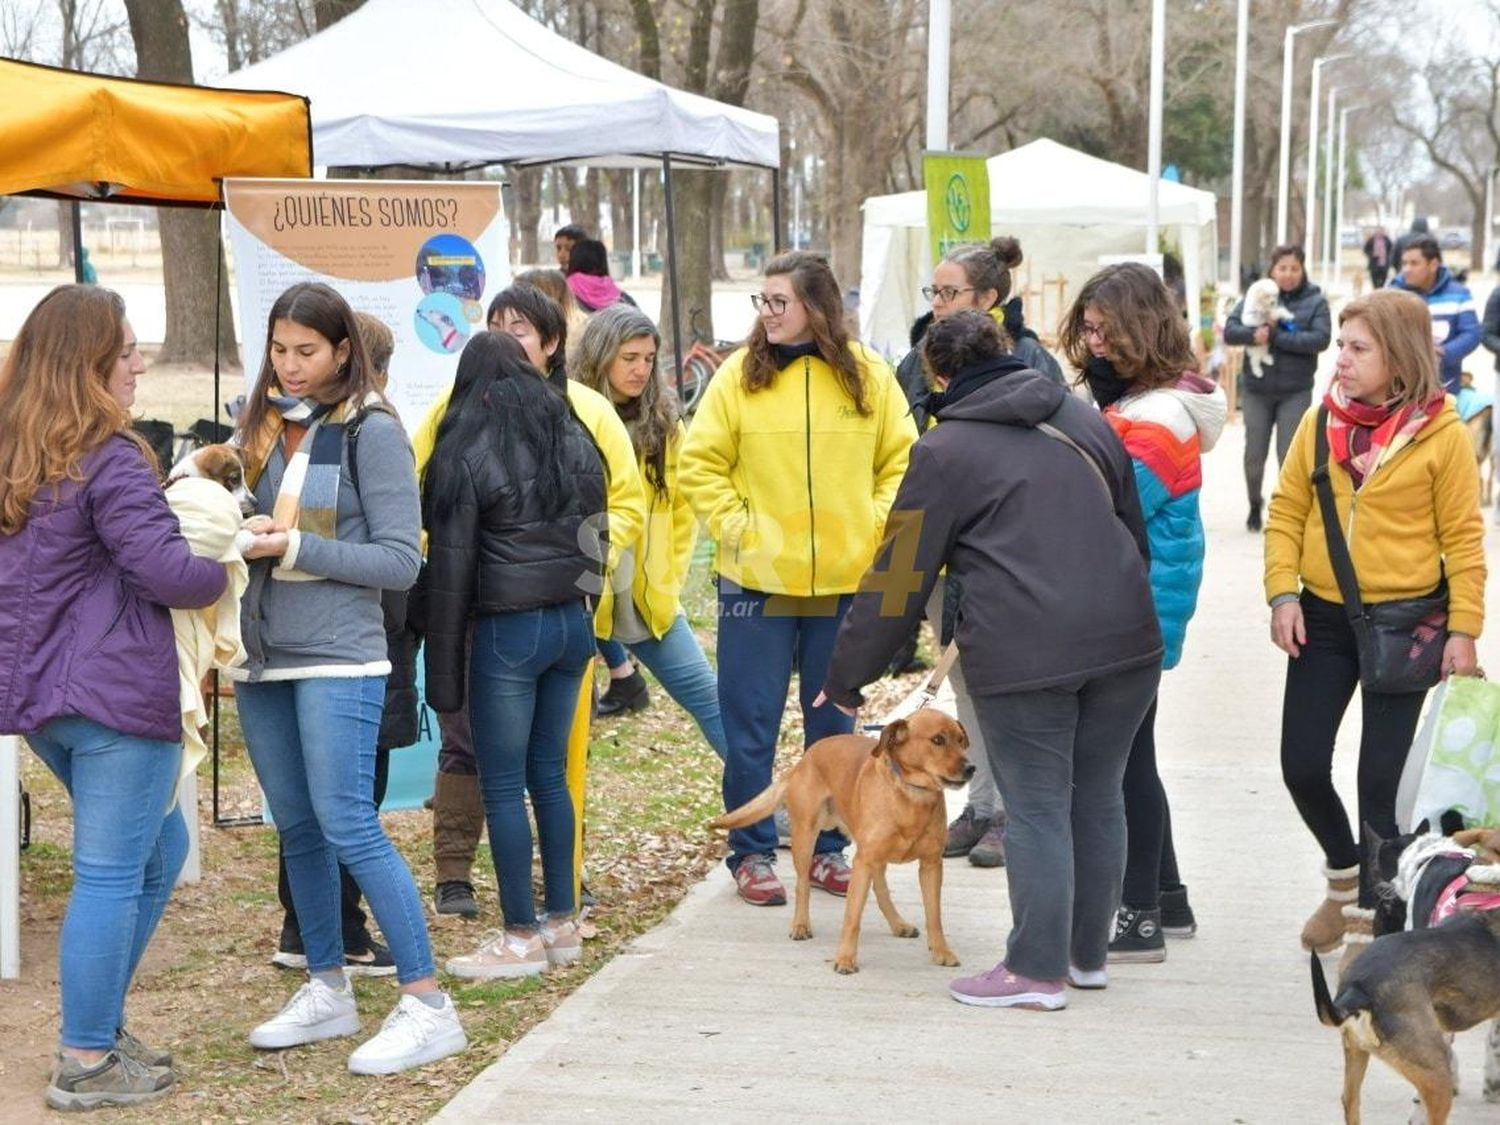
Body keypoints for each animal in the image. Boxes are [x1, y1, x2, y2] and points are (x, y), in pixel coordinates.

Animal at [711, 714, 972, 978]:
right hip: (806, 839)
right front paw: (845, 958)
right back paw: (801, 925)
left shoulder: (931, 865)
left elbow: (934, 916)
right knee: (802, 885)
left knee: (881, 891)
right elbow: (852, 918)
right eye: (937, 740)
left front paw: (942, 951)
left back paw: (898, 925)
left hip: (872, 857)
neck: (911, 795)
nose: (971, 768)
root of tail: (804, 759)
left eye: (961, 740)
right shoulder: (863, 864)